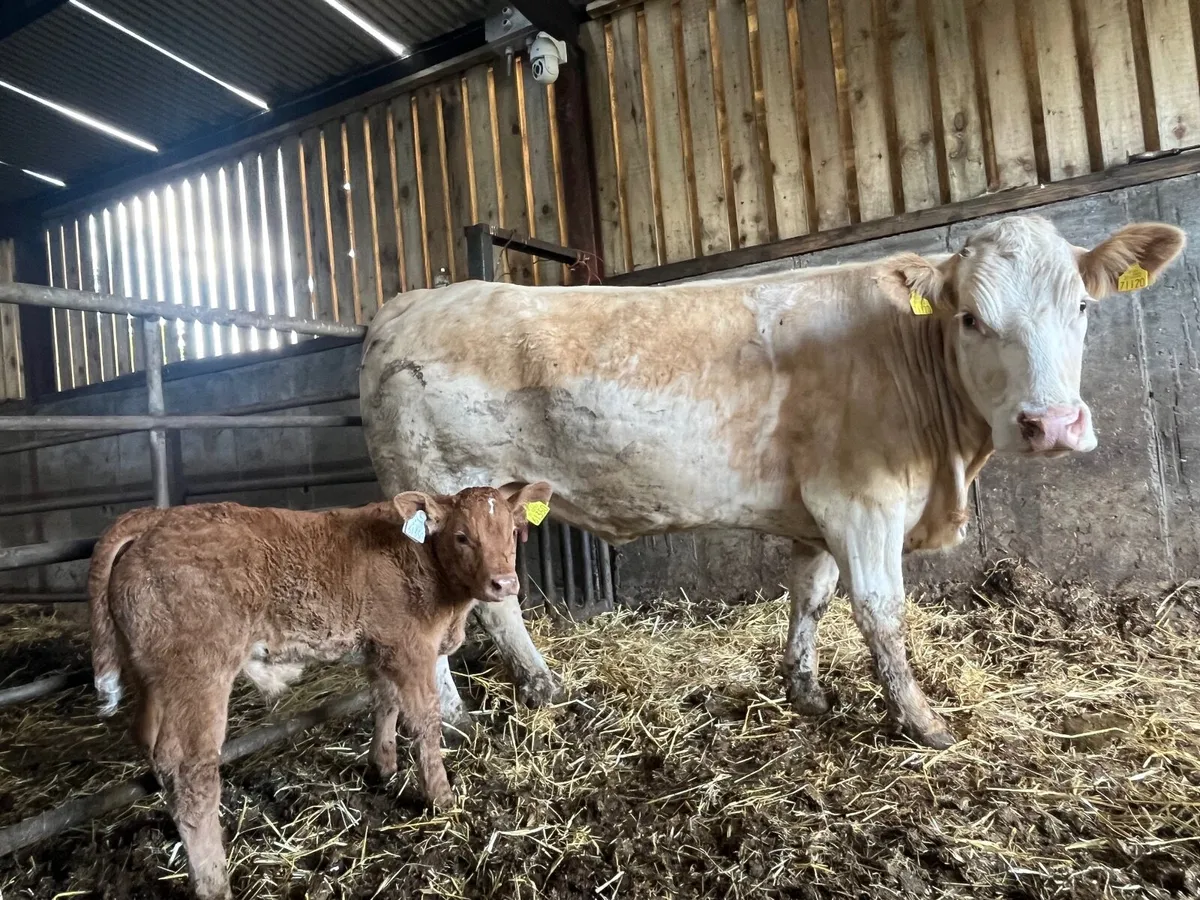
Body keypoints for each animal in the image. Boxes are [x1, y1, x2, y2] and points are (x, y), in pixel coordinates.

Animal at [88, 483, 552, 900]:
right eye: (462, 536)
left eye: (512, 532)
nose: (504, 583)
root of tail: (156, 519)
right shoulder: (410, 649)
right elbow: (424, 721)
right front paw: (442, 798)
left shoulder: (381, 647)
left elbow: (385, 702)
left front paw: (383, 767)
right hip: (199, 673)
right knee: (189, 770)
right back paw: (213, 882)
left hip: (154, 678)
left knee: (153, 748)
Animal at [358, 214, 1185, 751]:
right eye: (972, 318)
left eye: (1082, 306)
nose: (1054, 424)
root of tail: (409, 303)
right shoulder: (863, 501)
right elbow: (881, 611)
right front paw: (922, 722)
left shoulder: (817, 511)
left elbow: (810, 599)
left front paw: (807, 691)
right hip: (436, 493)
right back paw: (457, 717)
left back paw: (540, 690)